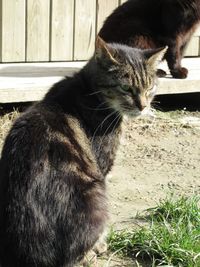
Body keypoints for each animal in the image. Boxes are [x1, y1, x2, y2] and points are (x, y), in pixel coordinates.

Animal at [0, 37, 166, 267]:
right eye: (126, 88)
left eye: (150, 87)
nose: (143, 106)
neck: (89, 89)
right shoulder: (103, 165)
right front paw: (100, 244)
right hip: (97, 198)